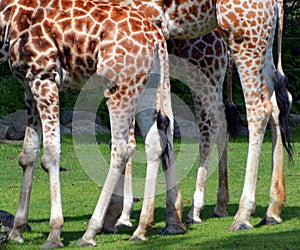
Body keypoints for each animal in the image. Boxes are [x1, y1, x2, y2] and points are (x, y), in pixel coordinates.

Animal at [0, 0, 180, 247]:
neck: (8, 17)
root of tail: (156, 38)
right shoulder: (27, 86)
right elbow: (27, 155)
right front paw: (17, 231)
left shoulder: (44, 76)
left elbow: (50, 156)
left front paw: (54, 232)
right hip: (148, 85)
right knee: (155, 143)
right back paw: (141, 229)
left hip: (119, 86)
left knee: (122, 148)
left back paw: (90, 232)